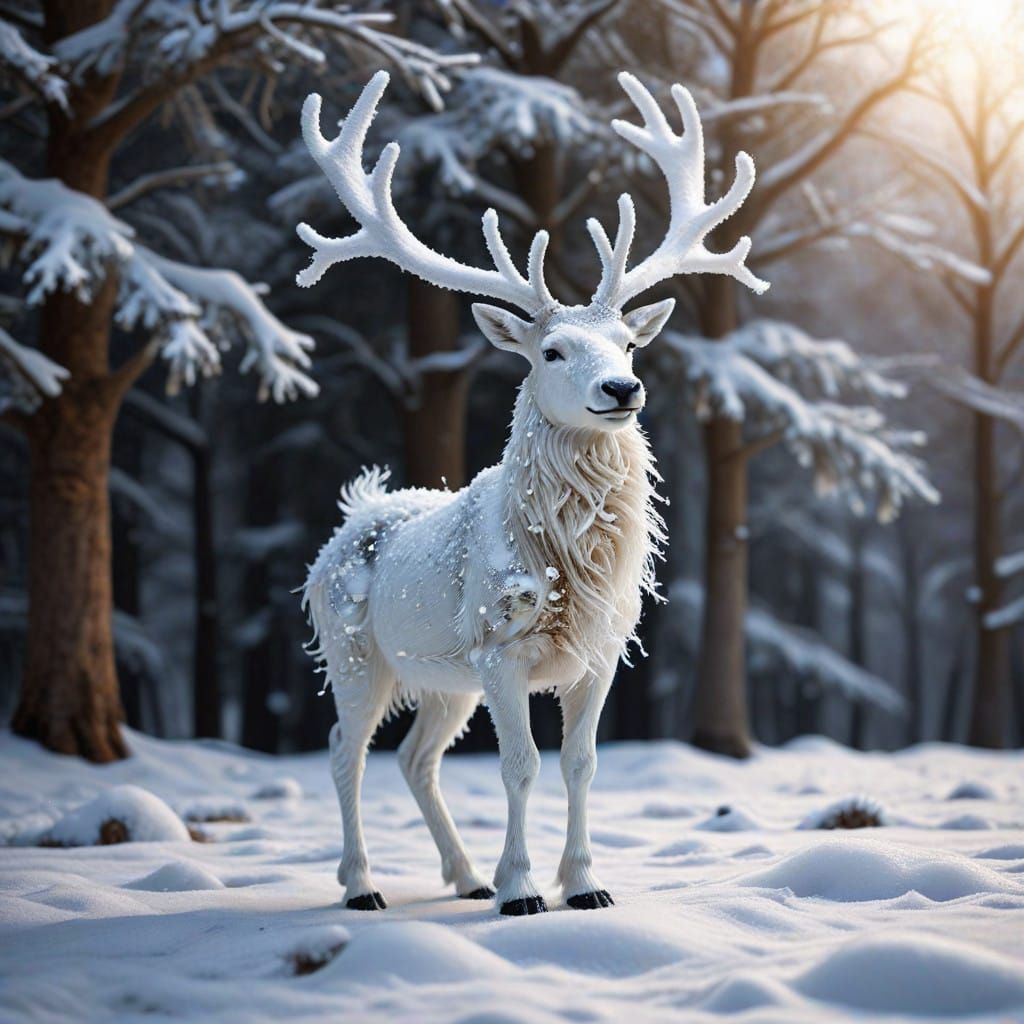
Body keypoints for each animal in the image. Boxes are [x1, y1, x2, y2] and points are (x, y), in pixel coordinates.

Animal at [298, 69, 768, 915]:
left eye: (627, 342)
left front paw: (583, 884)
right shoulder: (501, 647)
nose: (622, 389)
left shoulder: (602, 650)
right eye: (551, 351)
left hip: (442, 678)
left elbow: (582, 764)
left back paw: (463, 876)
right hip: (354, 651)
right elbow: (520, 767)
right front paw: (522, 890)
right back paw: (361, 885)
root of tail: (357, 511)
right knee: (344, 749)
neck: (567, 569)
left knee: (415, 757)